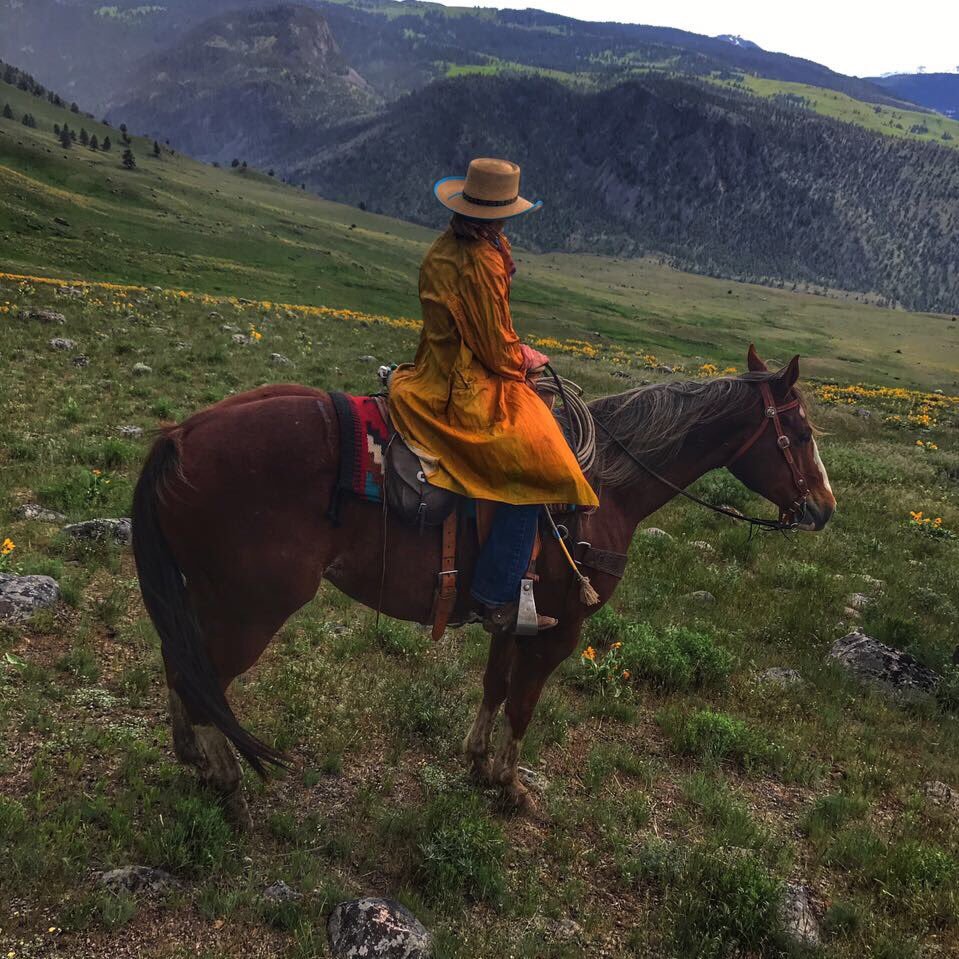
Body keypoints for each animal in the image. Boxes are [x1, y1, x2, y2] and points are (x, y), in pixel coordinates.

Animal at [131, 348, 836, 828]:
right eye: (800, 434)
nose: (824, 510)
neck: (605, 487)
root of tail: (181, 436)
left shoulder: (514, 613)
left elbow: (496, 686)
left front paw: (475, 763)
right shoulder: (563, 626)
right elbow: (524, 703)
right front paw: (510, 785)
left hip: (212, 597)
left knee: (180, 662)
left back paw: (195, 760)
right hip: (252, 607)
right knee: (202, 677)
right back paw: (227, 779)